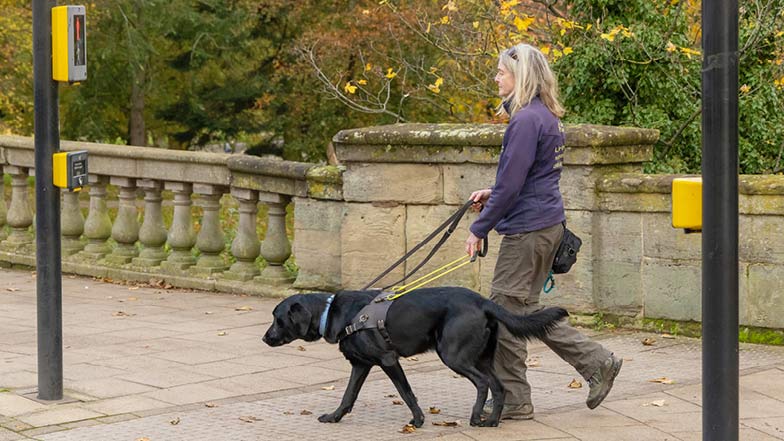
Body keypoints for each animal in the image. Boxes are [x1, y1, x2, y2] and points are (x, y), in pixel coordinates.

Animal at [262, 287, 568, 427]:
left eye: (278, 319)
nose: (265, 338)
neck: (334, 312)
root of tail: (482, 301)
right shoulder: (361, 365)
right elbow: (348, 395)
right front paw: (334, 417)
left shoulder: (388, 360)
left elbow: (406, 392)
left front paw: (418, 420)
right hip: (480, 357)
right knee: (499, 386)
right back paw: (492, 421)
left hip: (453, 355)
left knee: (482, 384)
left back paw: (476, 417)